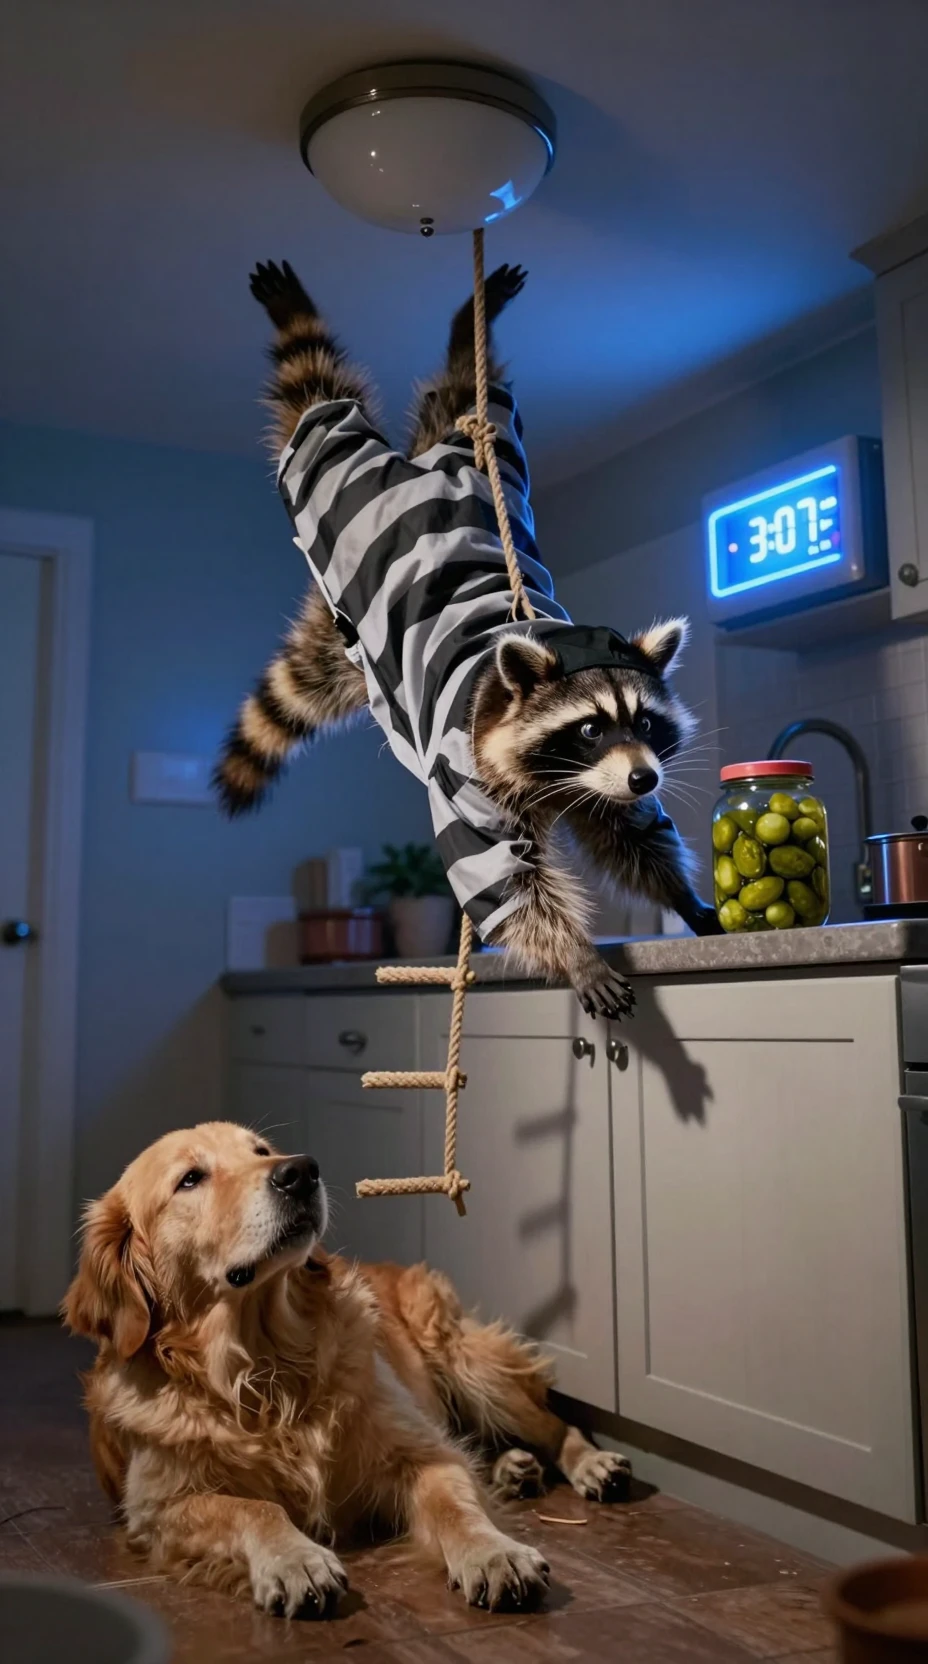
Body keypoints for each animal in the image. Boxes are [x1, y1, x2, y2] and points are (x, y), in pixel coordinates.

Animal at [215, 259, 720, 1020]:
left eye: (647, 723)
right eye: (589, 728)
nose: (646, 776)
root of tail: (417, 467)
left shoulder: (599, 785)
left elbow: (630, 835)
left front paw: (687, 900)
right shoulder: (468, 778)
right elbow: (505, 881)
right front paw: (575, 953)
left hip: (488, 461)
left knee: (459, 401)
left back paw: (466, 336)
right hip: (334, 496)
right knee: (320, 402)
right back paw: (304, 329)